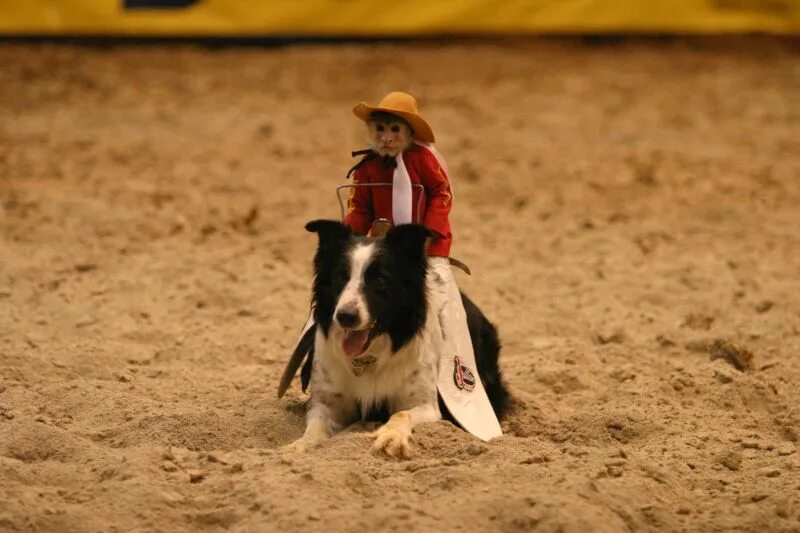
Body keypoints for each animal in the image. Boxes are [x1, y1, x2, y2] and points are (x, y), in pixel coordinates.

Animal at [284, 220, 510, 458]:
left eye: (380, 279)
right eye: (340, 277)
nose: (345, 316)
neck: (370, 358)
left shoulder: (427, 406)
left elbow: (401, 414)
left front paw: (390, 438)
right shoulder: (327, 404)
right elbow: (314, 429)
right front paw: (298, 446)